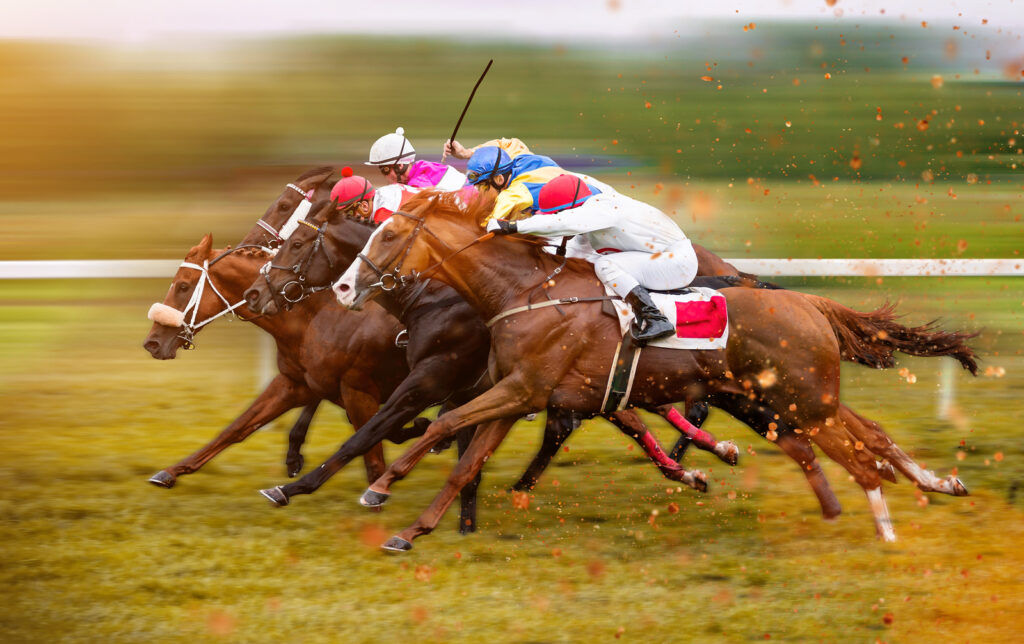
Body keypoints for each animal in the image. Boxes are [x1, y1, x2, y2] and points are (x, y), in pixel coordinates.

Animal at [333, 188, 974, 548]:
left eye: (389, 233)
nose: (342, 287)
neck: (526, 291)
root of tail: (808, 301)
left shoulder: (522, 388)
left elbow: (445, 425)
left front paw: (382, 487)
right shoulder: (519, 394)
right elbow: (466, 460)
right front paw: (410, 532)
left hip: (803, 401)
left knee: (862, 456)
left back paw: (886, 526)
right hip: (805, 398)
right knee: (873, 437)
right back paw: (934, 484)